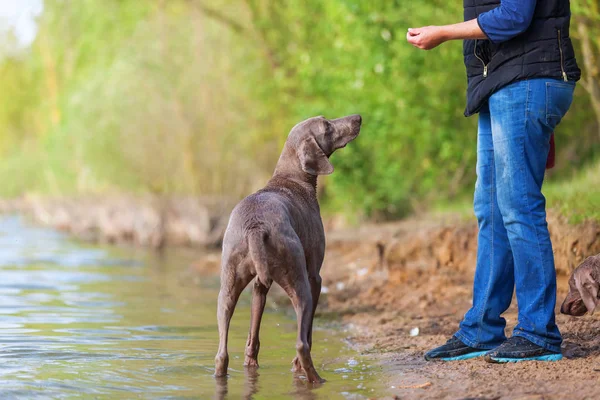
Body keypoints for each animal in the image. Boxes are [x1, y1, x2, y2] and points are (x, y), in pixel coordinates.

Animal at [217, 114, 364, 382]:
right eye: (327, 125)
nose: (358, 117)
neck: (292, 177)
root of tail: (256, 227)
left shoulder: (259, 284)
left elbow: (253, 333)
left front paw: (251, 363)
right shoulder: (315, 276)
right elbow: (308, 333)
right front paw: (296, 367)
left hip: (227, 289)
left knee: (221, 352)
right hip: (299, 282)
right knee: (301, 344)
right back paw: (315, 378)